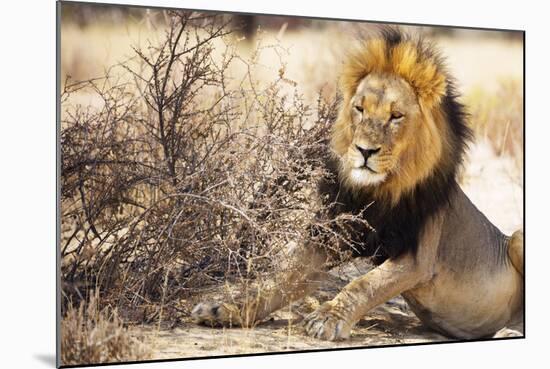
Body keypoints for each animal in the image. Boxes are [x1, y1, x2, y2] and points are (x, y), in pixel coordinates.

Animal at [192, 28, 524, 340]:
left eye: (396, 116)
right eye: (360, 108)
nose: (365, 150)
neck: (377, 191)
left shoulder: (417, 257)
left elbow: (364, 284)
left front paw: (328, 318)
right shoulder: (329, 236)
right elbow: (278, 280)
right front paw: (225, 308)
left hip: (517, 238)